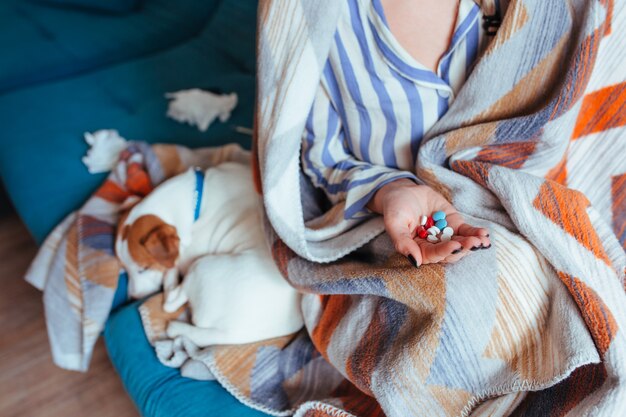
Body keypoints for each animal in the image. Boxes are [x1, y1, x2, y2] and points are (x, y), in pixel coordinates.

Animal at [117, 162, 304, 344]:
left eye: (143, 269)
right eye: (124, 268)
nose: (132, 297)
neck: (195, 203)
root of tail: (230, 335)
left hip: (200, 266)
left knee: (170, 302)